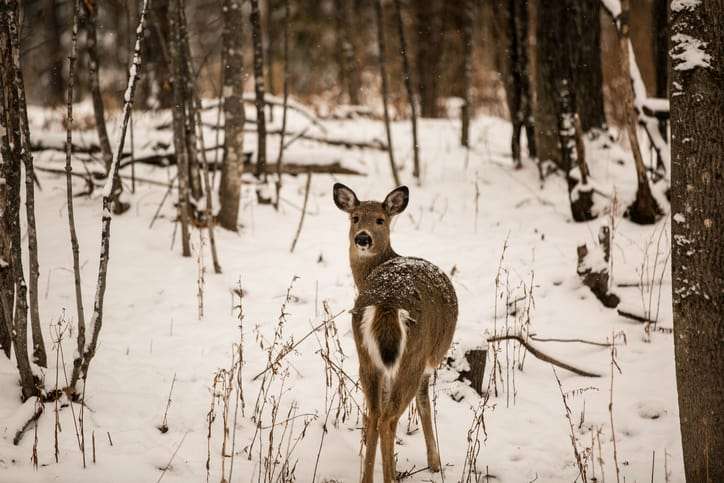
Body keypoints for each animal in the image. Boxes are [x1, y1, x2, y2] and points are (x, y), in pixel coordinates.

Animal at [334, 182, 458, 483]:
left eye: (380, 219)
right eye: (355, 218)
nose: (363, 238)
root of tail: (388, 304)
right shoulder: (429, 361)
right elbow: (425, 404)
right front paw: (435, 463)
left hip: (365, 357)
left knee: (373, 414)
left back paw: (367, 478)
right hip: (414, 355)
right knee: (389, 417)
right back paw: (390, 476)